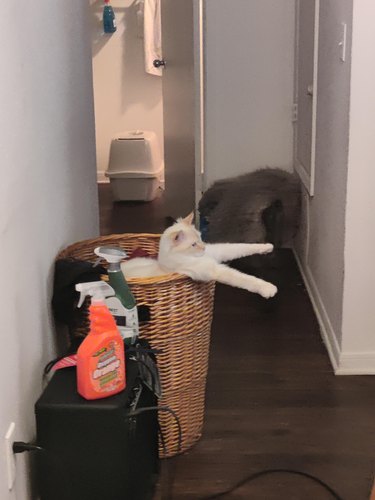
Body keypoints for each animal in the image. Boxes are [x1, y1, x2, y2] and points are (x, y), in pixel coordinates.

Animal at [122, 213, 278, 298]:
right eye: (193, 244)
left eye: (200, 237)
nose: (204, 247)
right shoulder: (215, 269)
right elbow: (245, 279)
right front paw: (268, 288)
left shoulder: (218, 251)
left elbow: (240, 247)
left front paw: (267, 247)